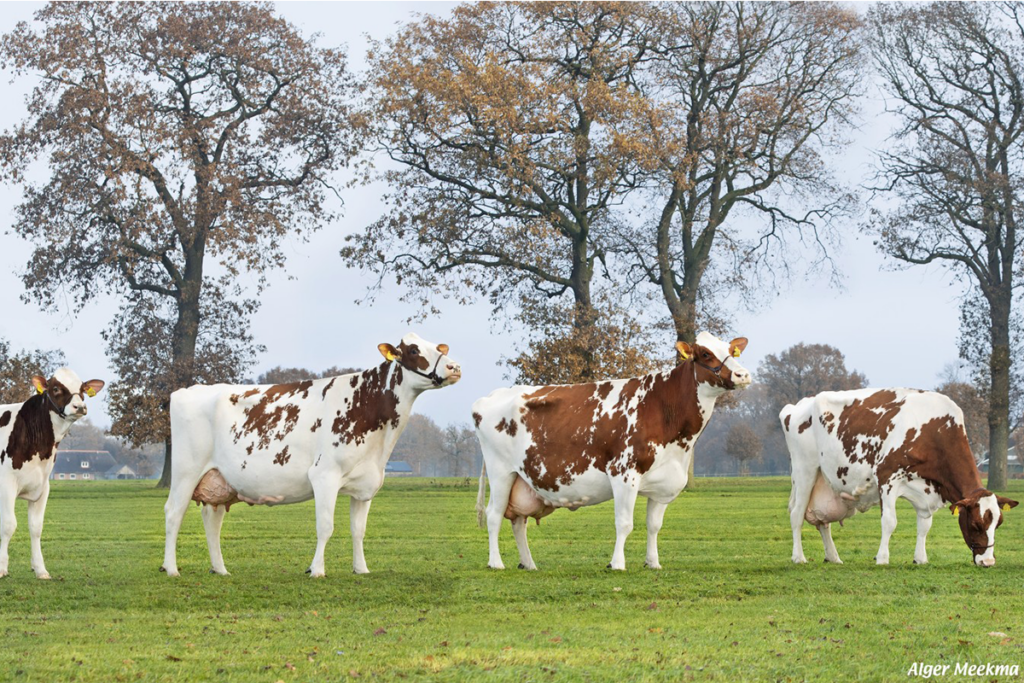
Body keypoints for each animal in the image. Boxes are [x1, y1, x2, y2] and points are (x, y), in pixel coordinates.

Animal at [0, 370, 104, 581]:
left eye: (82, 389)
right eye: (55, 388)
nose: (80, 407)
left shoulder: (42, 487)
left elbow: (36, 527)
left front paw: (40, 569)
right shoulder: (6, 484)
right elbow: (8, 525)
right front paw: (1, 567)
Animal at [160, 333, 460, 581]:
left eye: (438, 346)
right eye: (413, 349)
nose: (454, 367)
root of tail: (188, 389)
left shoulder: (365, 483)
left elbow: (359, 530)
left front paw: (361, 568)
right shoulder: (325, 475)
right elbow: (325, 526)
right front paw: (317, 570)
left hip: (220, 479)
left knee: (212, 521)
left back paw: (220, 569)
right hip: (186, 471)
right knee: (174, 512)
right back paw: (171, 568)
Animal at [473, 331, 753, 573]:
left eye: (731, 350)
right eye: (706, 353)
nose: (743, 374)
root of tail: (490, 396)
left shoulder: (664, 482)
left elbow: (654, 525)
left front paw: (653, 562)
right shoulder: (624, 472)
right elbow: (624, 523)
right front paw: (617, 563)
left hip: (522, 480)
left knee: (519, 521)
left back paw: (529, 563)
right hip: (501, 472)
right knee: (494, 514)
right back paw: (495, 563)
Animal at [782, 387, 1015, 569]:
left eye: (998, 524)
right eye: (976, 524)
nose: (988, 562)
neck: (933, 431)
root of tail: (798, 405)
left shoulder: (926, 489)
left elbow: (924, 525)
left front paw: (920, 558)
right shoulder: (887, 477)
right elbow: (889, 521)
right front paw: (882, 558)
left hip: (825, 483)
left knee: (823, 522)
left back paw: (833, 557)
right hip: (805, 470)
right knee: (796, 514)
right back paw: (798, 557)